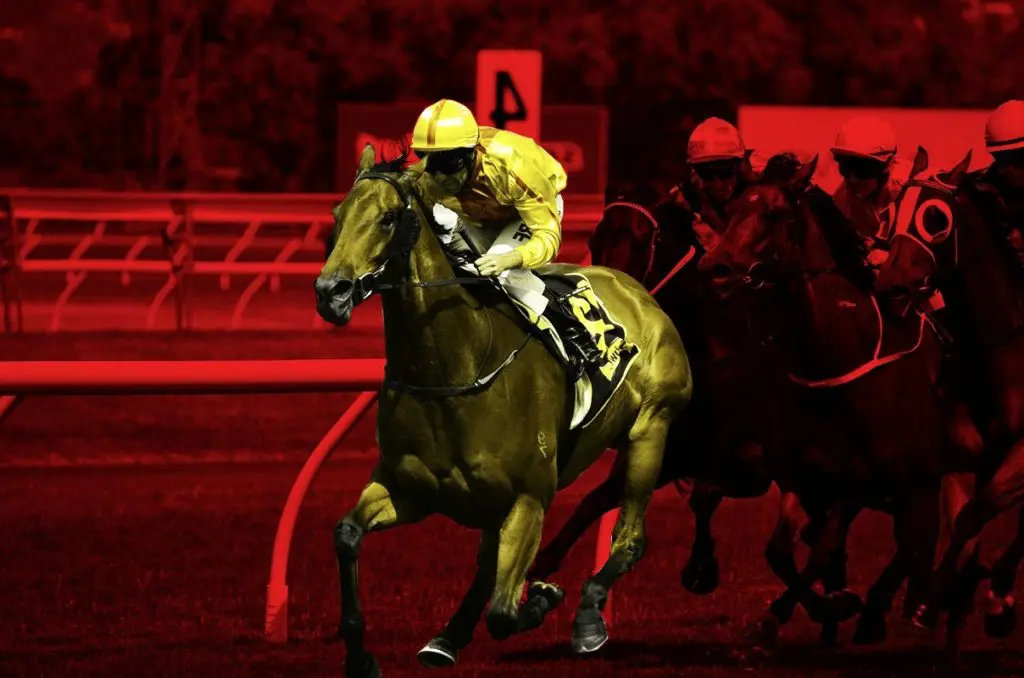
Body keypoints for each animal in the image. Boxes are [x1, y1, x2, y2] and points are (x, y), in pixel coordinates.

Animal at [314, 144, 693, 677]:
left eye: (388, 219)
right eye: (336, 216)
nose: (332, 292)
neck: (453, 370)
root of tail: (639, 291)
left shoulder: (530, 496)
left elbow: (504, 613)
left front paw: (544, 596)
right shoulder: (408, 488)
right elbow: (346, 534)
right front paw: (360, 656)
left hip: (650, 431)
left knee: (630, 538)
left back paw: (587, 618)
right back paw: (447, 637)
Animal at [697, 151, 972, 647]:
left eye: (775, 214)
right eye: (731, 212)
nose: (715, 270)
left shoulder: (867, 482)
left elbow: (827, 547)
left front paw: (843, 605)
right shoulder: (805, 478)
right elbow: (784, 551)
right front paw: (813, 609)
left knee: (923, 540)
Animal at [875, 146, 1024, 650]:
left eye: (935, 218)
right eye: (892, 211)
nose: (890, 286)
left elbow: (978, 513)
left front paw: (943, 598)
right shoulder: (962, 456)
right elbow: (963, 522)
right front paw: (942, 605)